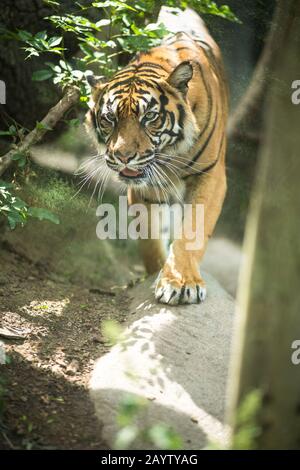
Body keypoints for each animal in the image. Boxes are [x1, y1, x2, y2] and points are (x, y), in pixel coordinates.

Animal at [85, 9, 229, 306]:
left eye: (149, 117)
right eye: (109, 118)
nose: (123, 156)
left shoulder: (210, 176)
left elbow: (193, 232)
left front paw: (182, 282)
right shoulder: (145, 187)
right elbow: (149, 238)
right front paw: (157, 275)